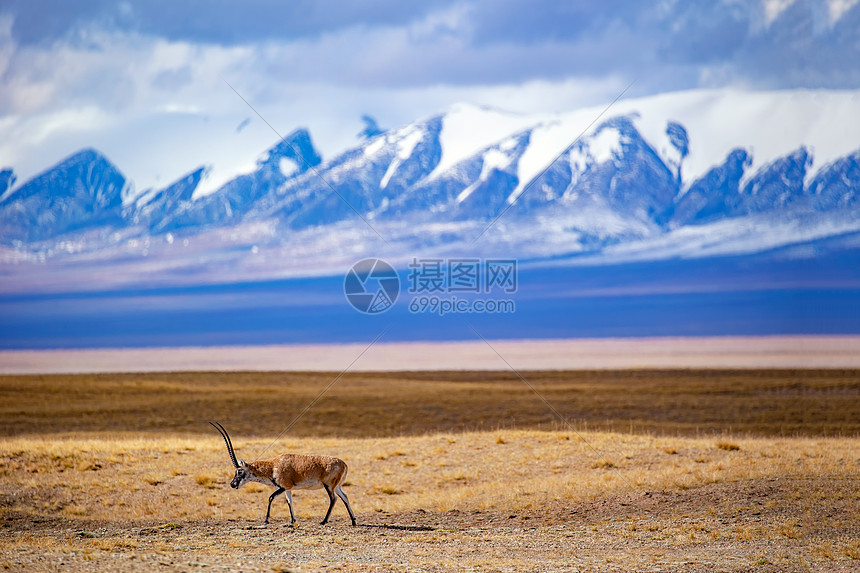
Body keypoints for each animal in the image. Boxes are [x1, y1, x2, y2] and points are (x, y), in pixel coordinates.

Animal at [211, 422, 356, 524]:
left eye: (239, 471)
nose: (232, 484)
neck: (273, 466)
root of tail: (344, 464)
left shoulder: (283, 487)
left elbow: (270, 497)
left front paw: (266, 520)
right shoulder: (288, 489)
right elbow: (289, 501)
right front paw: (293, 521)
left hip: (329, 485)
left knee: (333, 499)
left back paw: (324, 521)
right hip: (336, 486)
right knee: (344, 497)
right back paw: (353, 521)